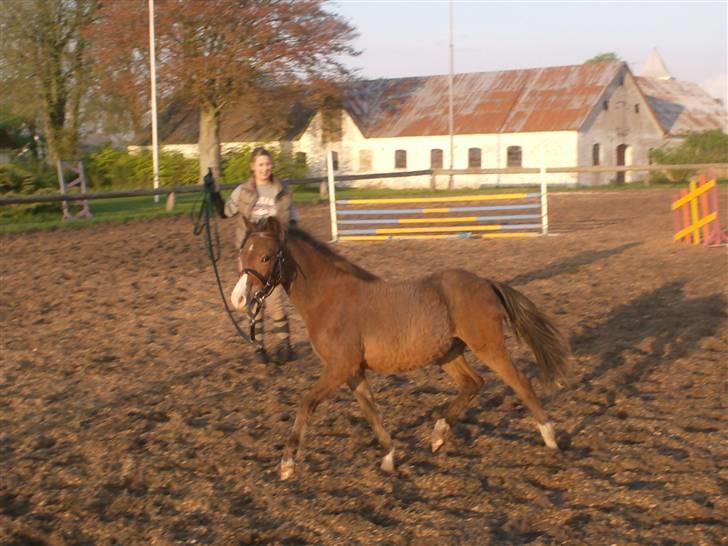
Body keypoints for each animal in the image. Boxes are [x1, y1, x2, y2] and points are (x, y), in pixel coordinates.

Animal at [231, 217, 571, 480]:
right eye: (242, 255)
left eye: (265, 257)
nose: (238, 299)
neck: (329, 298)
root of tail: (485, 282)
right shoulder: (353, 371)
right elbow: (371, 411)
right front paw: (389, 458)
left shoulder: (339, 367)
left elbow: (306, 403)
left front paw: (287, 464)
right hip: (448, 354)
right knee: (473, 383)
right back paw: (438, 435)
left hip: (488, 347)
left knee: (521, 384)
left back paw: (551, 439)